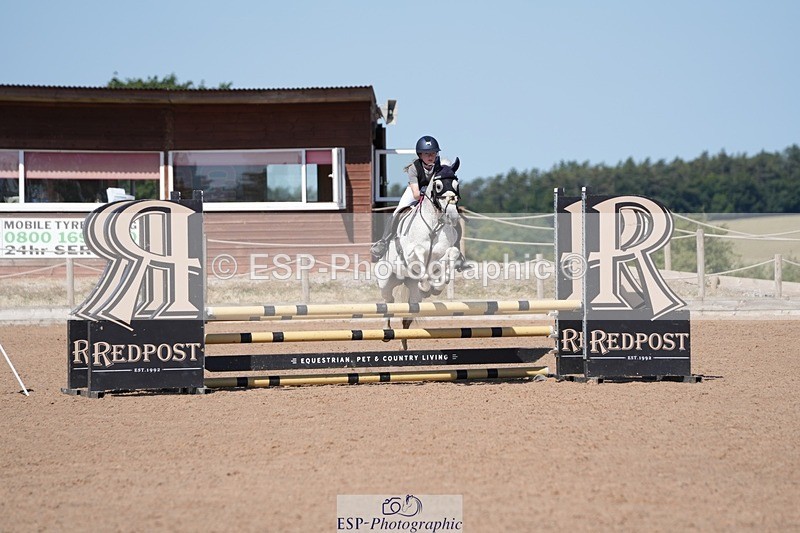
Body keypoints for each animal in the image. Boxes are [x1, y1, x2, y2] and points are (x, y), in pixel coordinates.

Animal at [376, 158, 463, 348]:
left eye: (457, 184)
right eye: (438, 185)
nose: (453, 216)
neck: (434, 224)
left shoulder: (445, 252)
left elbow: (451, 254)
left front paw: (438, 284)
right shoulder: (410, 254)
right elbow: (420, 252)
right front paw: (426, 283)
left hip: (413, 295)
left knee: (406, 318)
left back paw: (403, 343)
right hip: (386, 281)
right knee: (388, 302)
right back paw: (386, 331)